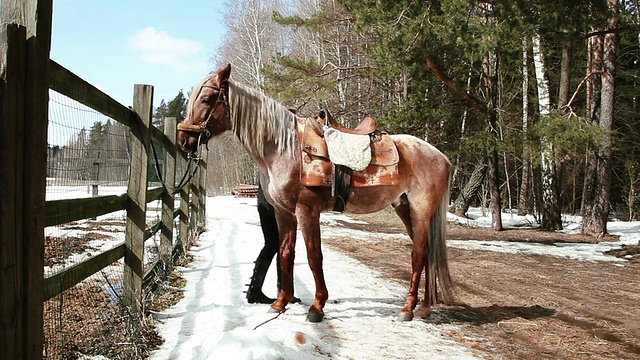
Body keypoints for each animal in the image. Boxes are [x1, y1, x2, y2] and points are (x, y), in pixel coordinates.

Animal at [178, 64, 452, 324]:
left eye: (206, 100)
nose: (183, 139)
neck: (285, 149)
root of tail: (440, 156)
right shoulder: (283, 212)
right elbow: (286, 254)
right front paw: (281, 302)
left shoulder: (307, 211)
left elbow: (313, 257)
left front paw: (317, 307)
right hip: (404, 208)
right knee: (427, 253)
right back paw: (425, 307)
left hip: (420, 210)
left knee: (418, 254)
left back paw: (408, 308)